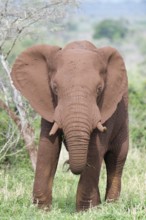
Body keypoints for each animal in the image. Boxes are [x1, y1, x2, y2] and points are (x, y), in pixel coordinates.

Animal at [10, 40, 128, 211]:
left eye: (99, 89)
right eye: (55, 88)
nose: (67, 164)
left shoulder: (107, 106)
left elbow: (95, 149)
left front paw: (86, 211)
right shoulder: (48, 103)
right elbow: (48, 148)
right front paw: (41, 210)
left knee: (117, 159)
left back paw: (111, 206)